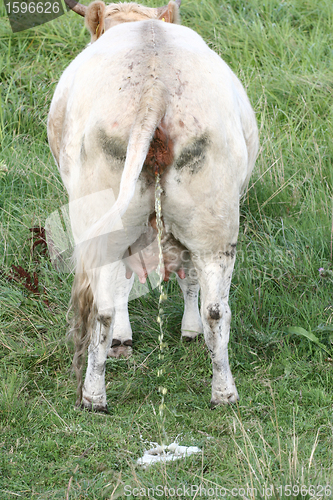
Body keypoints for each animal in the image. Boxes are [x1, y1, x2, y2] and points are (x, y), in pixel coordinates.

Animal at [48, 0, 258, 410]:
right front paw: (189, 331)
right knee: (215, 308)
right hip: (215, 221)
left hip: (99, 216)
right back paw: (224, 393)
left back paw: (92, 397)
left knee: (102, 307)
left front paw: (125, 338)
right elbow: (187, 278)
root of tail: (154, 88)